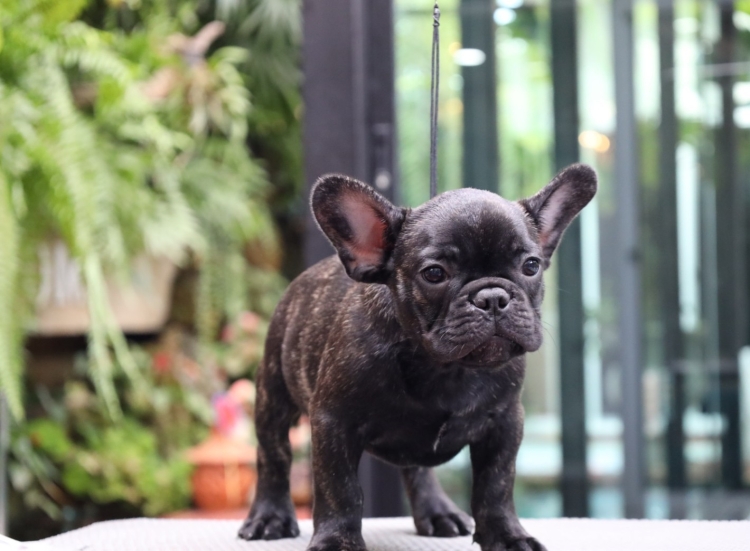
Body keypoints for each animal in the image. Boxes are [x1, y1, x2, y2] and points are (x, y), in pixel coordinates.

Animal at [238, 164, 597, 551]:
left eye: (531, 266)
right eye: (434, 273)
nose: (492, 297)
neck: (446, 368)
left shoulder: (504, 423)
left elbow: (496, 486)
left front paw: (507, 536)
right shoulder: (333, 423)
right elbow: (339, 488)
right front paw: (337, 541)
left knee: (418, 468)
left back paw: (438, 511)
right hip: (273, 395)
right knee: (273, 456)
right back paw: (270, 516)